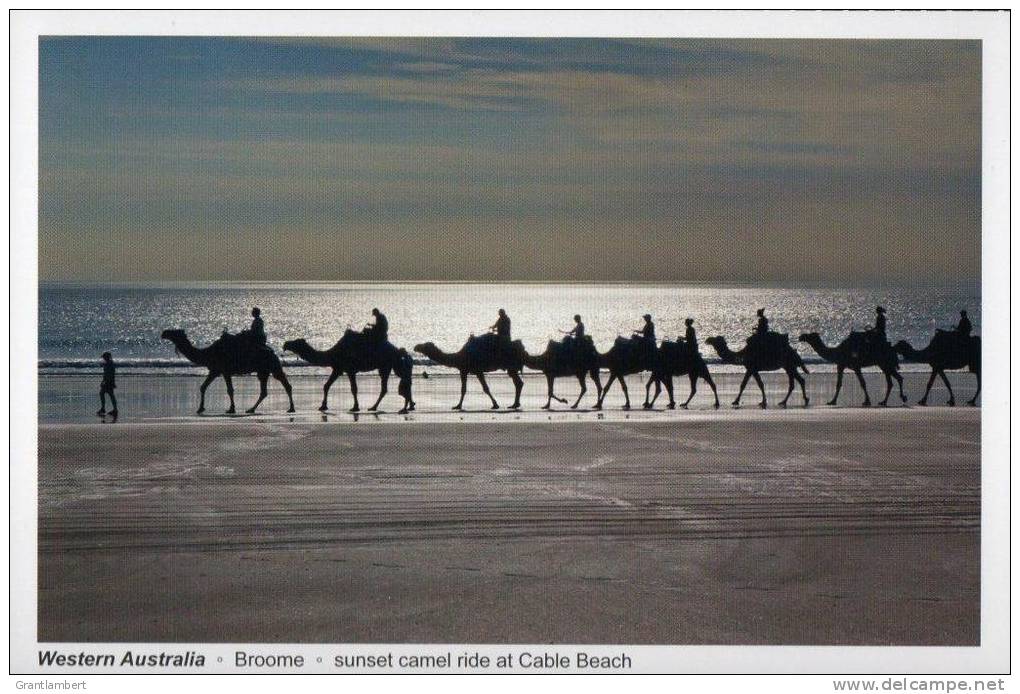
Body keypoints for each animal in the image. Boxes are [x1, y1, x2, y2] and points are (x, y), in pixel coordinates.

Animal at [160, 328, 295, 414]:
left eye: (174, 332)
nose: (163, 333)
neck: (208, 353)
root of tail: (273, 353)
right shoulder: (214, 370)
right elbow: (203, 387)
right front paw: (200, 409)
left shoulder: (225, 371)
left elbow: (230, 390)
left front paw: (231, 409)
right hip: (264, 370)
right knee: (265, 391)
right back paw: (251, 409)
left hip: (272, 366)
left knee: (285, 384)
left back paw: (291, 408)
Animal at [283, 332, 414, 414]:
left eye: (296, 342)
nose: (285, 344)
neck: (332, 354)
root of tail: (397, 350)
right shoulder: (337, 369)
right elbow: (326, 385)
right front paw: (323, 406)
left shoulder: (350, 370)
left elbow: (353, 389)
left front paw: (355, 407)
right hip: (388, 365)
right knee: (396, 383)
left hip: (388, 364)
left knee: (393, 384)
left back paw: (376, 407)